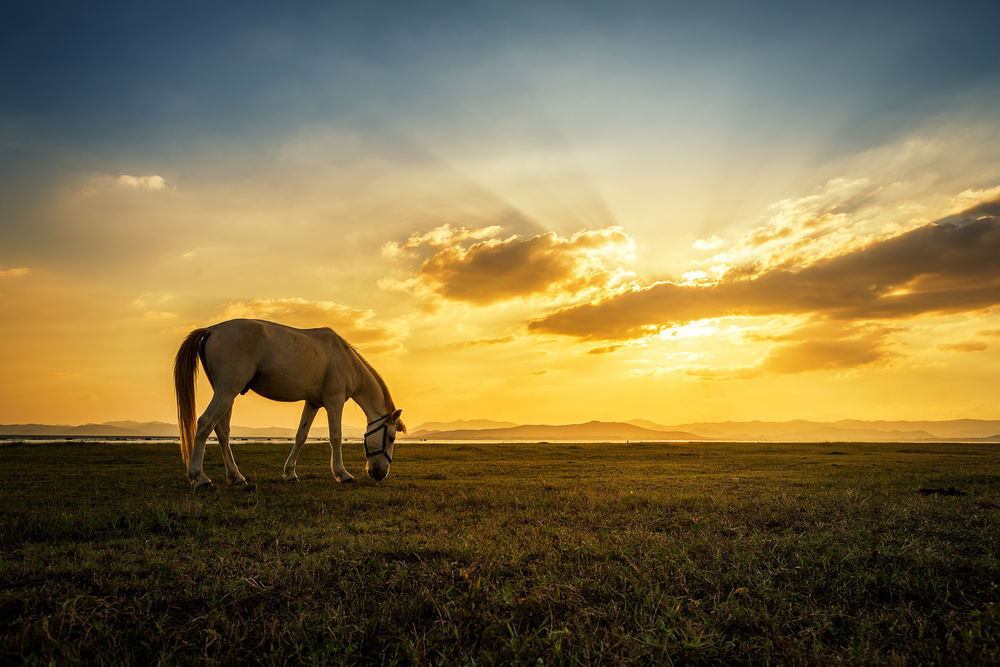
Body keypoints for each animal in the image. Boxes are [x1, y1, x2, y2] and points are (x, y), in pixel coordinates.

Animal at [174, 318, 404, 486]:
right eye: (391, 437)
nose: (380, 473)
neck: (345, 359)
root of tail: (211, 330)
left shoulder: (312, 403)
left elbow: (301, 436)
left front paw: (290, 473)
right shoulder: (334, 401)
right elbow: (336, 436)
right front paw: (342, 474)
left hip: (226, 393)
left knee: (222, 431)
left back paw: (236, 476)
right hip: (226, 391)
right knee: (205, 423)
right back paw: (200, 477)